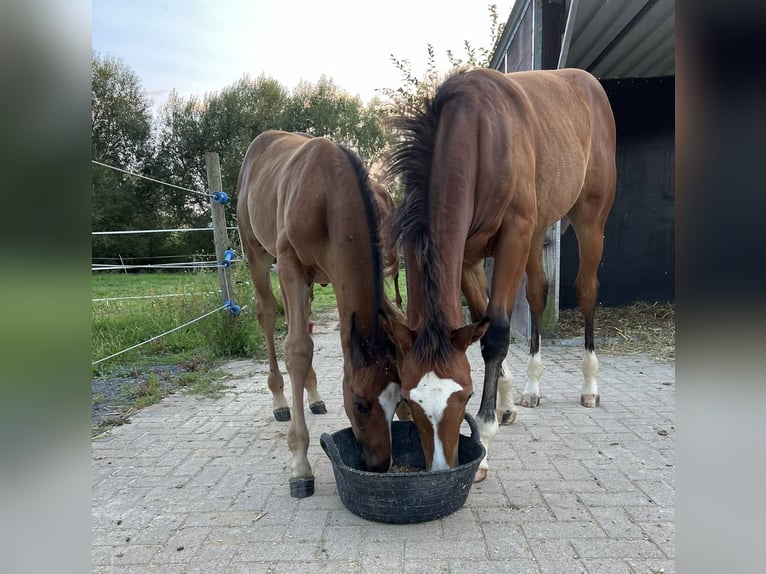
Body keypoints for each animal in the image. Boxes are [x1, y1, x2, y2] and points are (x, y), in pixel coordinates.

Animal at [238, 130, 402, 500]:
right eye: (360, 403)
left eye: (397, 400)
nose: (378, 464)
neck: (329, 194)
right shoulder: (289, 263)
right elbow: (297, 349)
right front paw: (300, 465)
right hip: (257, 252)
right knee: (268, 314)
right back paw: (279, 400)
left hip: (311, 278)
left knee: (301, 316)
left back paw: (313, 396)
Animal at [384, 68, 616, 482]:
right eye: (409, 399)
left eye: (465, 396)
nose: (441, 466)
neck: (479, 135)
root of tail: (587, 82)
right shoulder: (468, 259)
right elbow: (482, 321)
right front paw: (506, 404)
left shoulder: (514, 237)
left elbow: (496, 332)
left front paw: (485, 440)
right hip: (537, 234)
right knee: (538, 294)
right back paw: (532, 386)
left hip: (589, 220)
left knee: (587, 291)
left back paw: (590, 385)